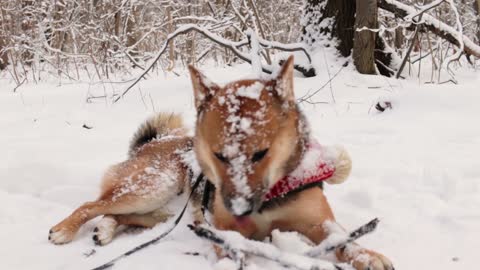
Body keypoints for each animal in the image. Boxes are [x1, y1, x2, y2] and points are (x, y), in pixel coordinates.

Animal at [47, 113, 201, 246]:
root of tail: (155, 141)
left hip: (162, 210)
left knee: (123, 215)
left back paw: (105, 229)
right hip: (152, 189)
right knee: (90, 206)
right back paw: (65, 231)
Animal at [188, 55, 394, 270]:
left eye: (261, 153)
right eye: (219, 155)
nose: (240, 209)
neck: (270, 196)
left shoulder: (317, 220)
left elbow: (340, 238)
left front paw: (366, 256)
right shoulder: (224, 226)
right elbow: (227, 241)